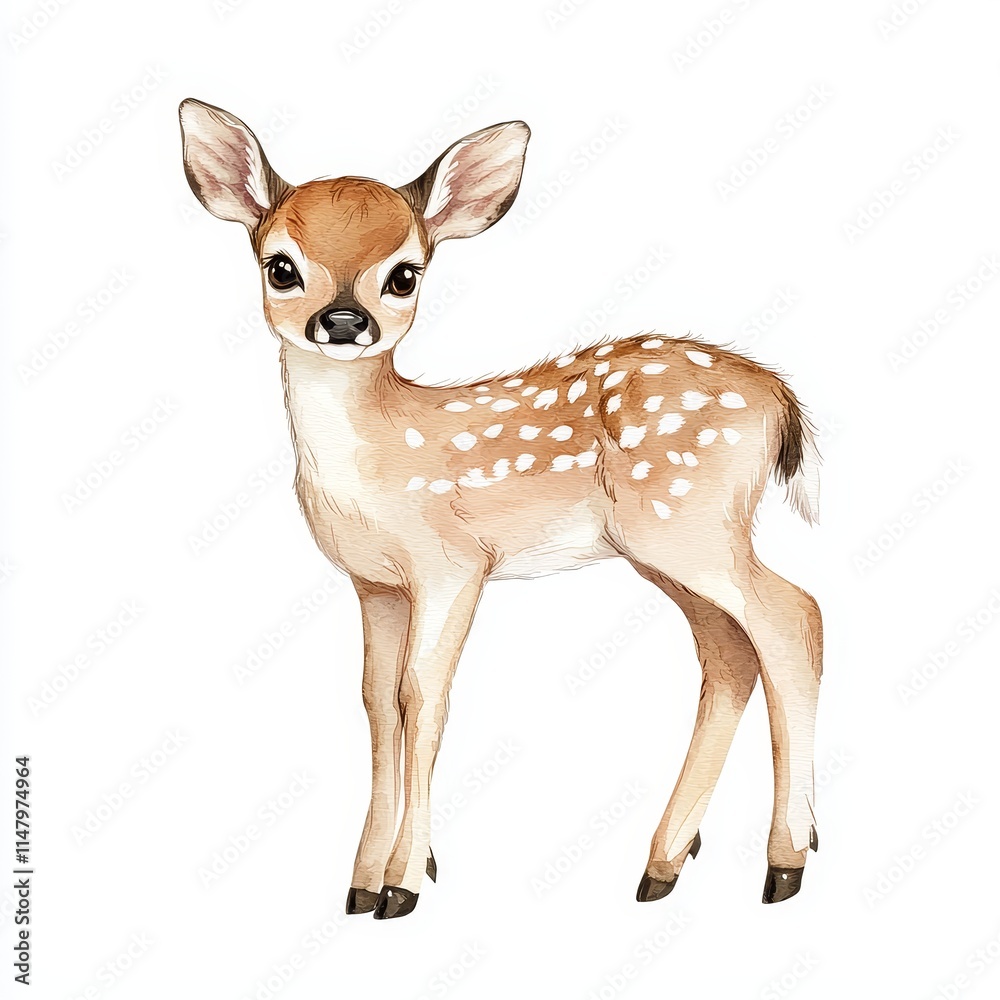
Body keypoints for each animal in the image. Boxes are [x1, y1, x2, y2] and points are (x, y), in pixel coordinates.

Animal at [178, 99, 823, 920]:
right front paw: (362, 881)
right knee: (730, 652)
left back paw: (786, 861)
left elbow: (423, 699)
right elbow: (376, 703)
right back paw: (664, 865)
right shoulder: (375, 583)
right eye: (281, 265)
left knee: (793, 615)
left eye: (404, 275)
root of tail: (780, 397)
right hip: (665, 546)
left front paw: (403, 882)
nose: (345, 322)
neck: (376, 459)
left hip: (692, 522)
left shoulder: (452, 565)